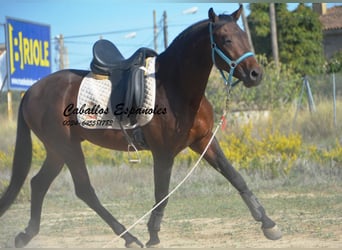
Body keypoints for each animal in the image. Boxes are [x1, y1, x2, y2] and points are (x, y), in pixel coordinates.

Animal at [0, 4, 280, 247]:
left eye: (243, 36)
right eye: (225, 39)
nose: (256, 74)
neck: (176, 87)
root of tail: (32, 90)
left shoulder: (203, 141)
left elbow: (235, 177)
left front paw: (268, 223)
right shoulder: (164, 154)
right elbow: (161, 194)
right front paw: (153, 235)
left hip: (58, 151)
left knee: (38, 184)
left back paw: (26, 235)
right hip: (66, 148)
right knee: (84, 191)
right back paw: (129, 237)